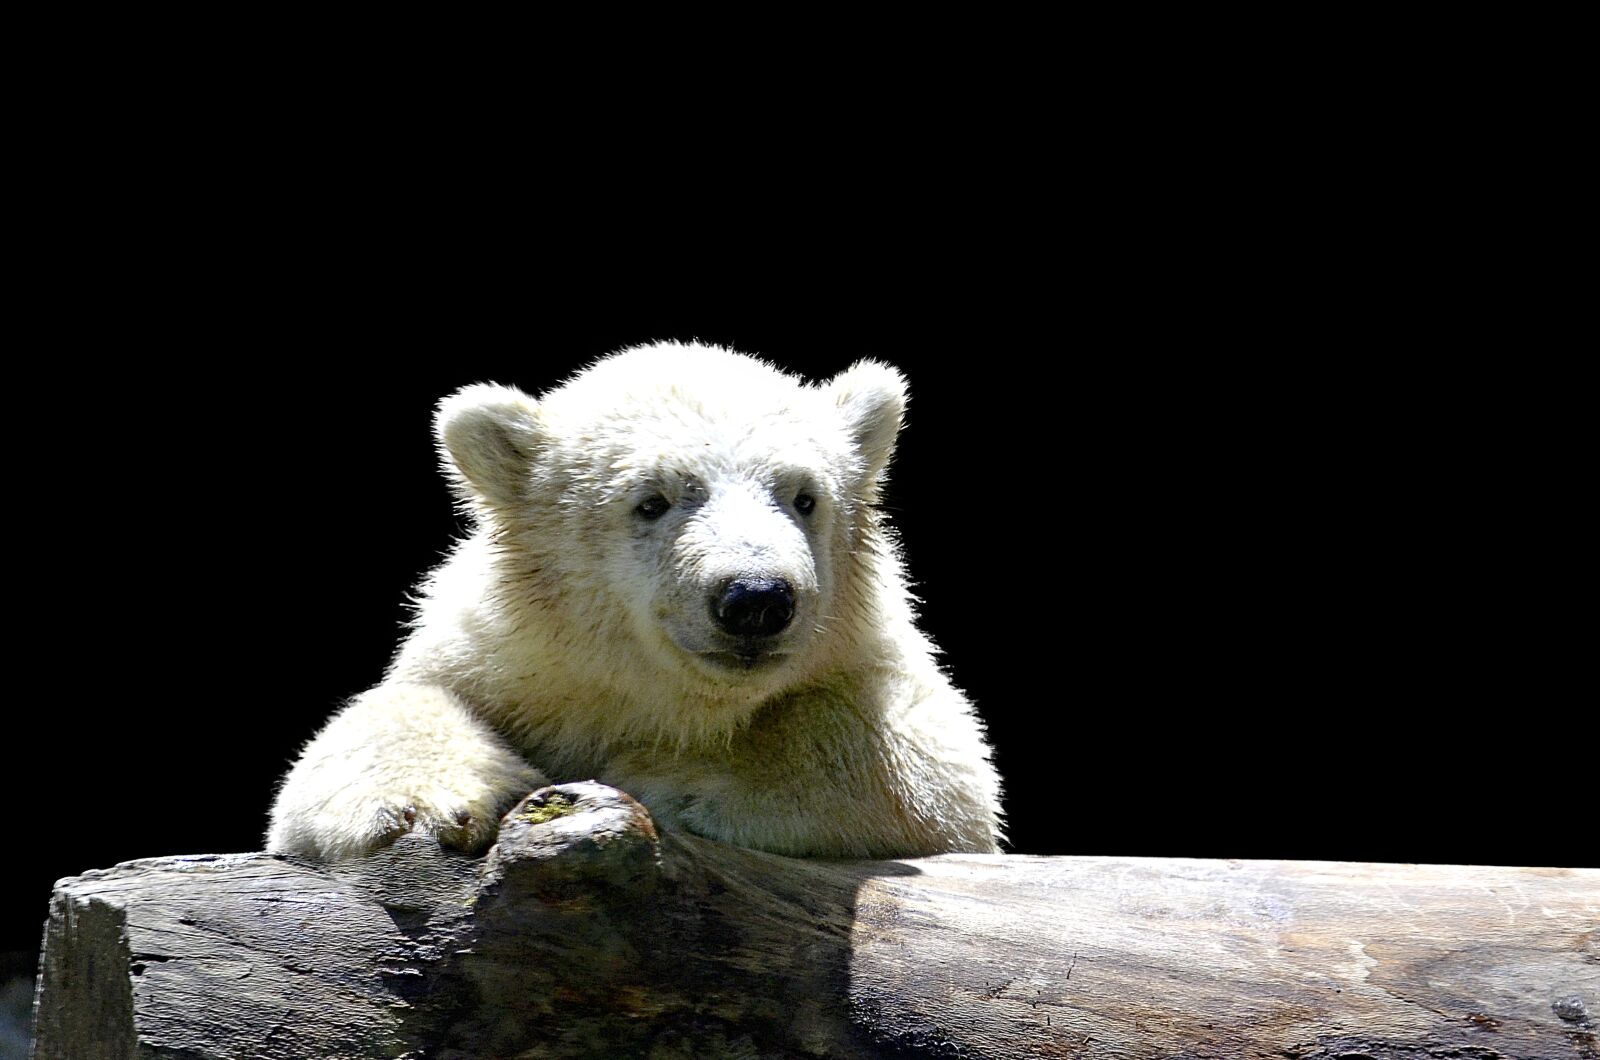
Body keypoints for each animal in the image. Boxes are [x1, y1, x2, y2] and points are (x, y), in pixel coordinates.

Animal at [266, 342, 1003, 860]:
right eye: (652, 501)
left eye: (804, 497)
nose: (756, 598)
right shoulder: (496, 658)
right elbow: (389, 714)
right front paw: (427, 804)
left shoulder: (870, 658)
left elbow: (921, 753)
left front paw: (674, 778)